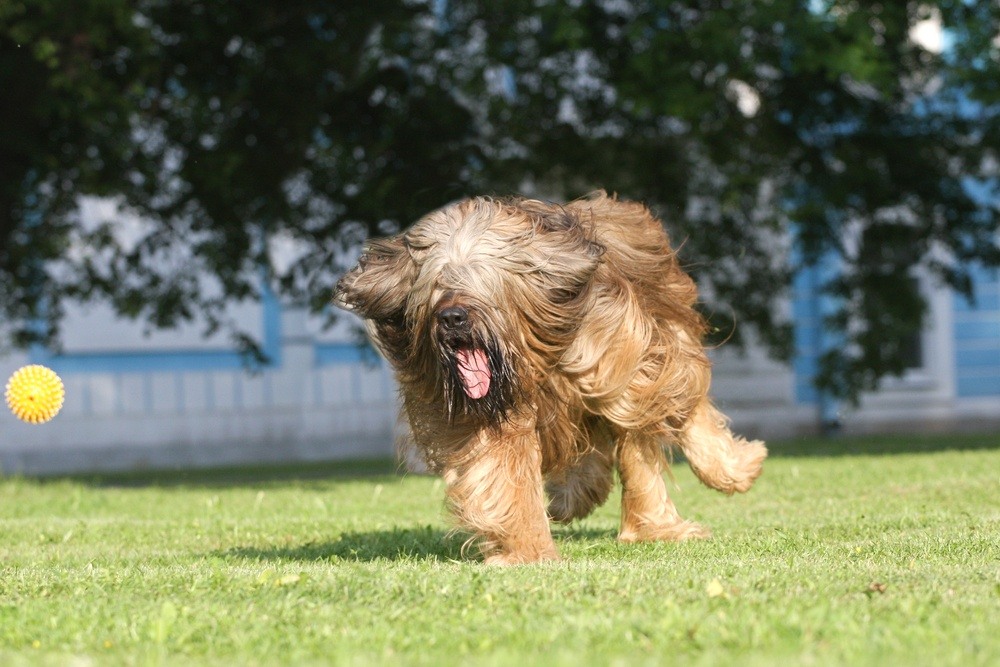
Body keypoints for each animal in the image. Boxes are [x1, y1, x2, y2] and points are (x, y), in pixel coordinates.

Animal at [336, 192, 764, 564]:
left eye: (484, 280)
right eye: (437, 283)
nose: (452, 317)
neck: (532, 353)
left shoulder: (619, 355)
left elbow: (646, 420)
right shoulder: (487, 412)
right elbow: (502, 471)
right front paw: (528, 551)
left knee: (672, 403)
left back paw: (730, 471)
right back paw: (580, 497)